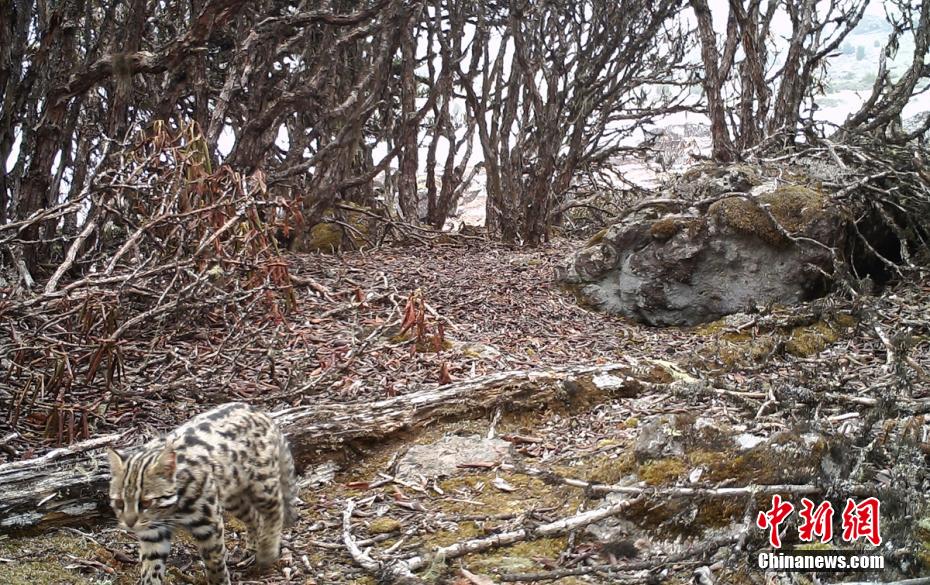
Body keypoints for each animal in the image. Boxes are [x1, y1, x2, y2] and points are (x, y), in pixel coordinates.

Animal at [108, 402, 298, 584]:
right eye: (119, 502)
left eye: (146, 503)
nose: (129, 524)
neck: (170, 511)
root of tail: (260, 412)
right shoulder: (153, 535)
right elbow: (150, 570)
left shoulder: (209, 525)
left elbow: (215, 565)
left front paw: (220, 580)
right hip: (232, 497)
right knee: (254, 516)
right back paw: (252, 546)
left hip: (262, 484)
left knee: (275, 509)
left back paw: (267, 550)